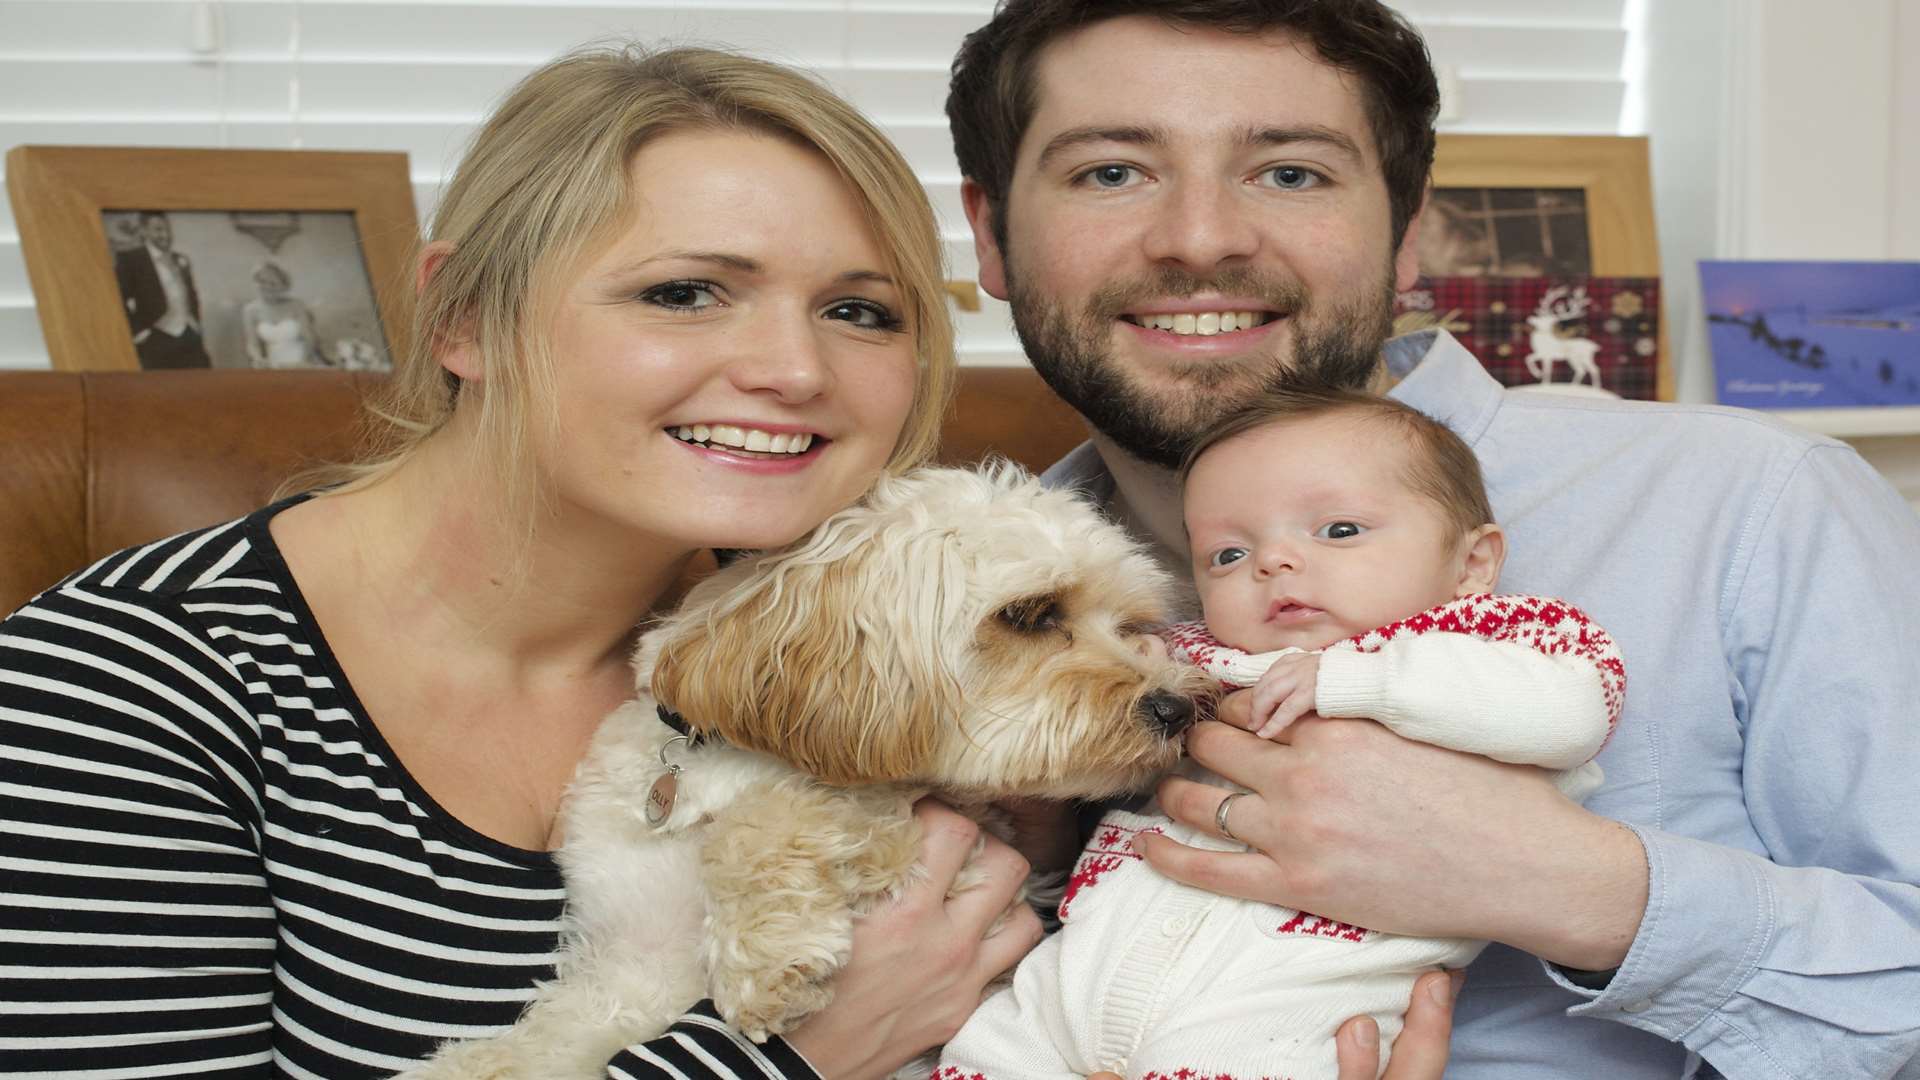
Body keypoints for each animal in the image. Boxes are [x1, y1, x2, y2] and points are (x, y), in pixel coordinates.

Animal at [407, 463, 1205, 1076]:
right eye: (1031, 615)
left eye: (1130, 625)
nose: (1175, 708)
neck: (717, 758)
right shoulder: (634, 964)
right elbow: (560, 1032)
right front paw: (472, 1064)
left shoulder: (954, 847)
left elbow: (788, 810)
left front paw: (766, 959)